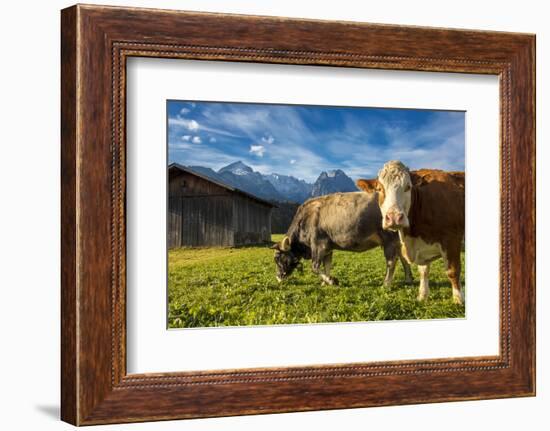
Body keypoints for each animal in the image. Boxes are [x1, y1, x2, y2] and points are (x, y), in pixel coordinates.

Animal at [272, 192, 414, 286]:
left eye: (278, 258)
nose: (278, 277)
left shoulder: (318, 244)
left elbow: (315, 267)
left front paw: (332, 281)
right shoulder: (328, 247)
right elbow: (327, 266)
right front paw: (325, 282)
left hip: (389, 238)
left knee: (392, 261)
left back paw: (386, 284)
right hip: (397, 240)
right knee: (403, 258)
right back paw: (408, 279)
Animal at [358, 160, 466, 306]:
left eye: (408, 187)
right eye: (379, 189)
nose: (394, 217)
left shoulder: (452, 240)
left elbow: (452, 271)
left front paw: (458, 299)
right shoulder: (421, 247)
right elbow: (423, 271)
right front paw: (423, 295)